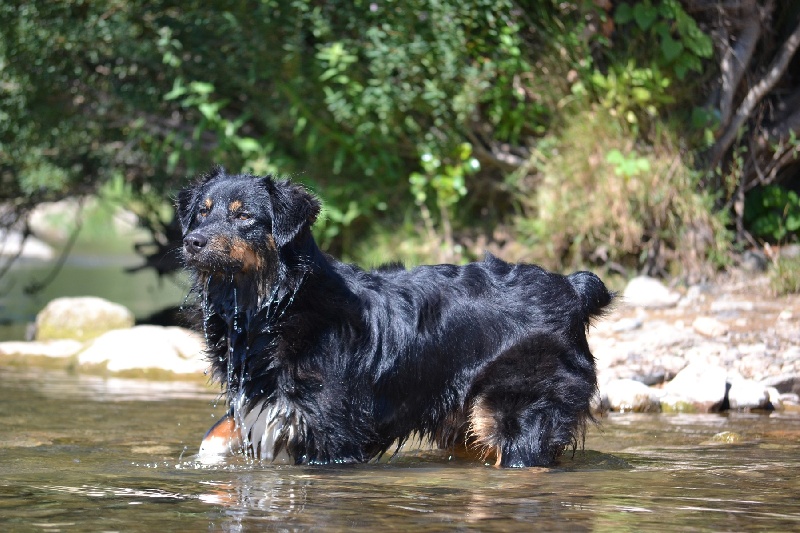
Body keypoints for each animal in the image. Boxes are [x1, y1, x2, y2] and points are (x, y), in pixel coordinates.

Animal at [177, 167, 612, 466]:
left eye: (244, 217)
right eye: (202, 213)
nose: (191, 242)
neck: (273, 305)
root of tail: (571, 286)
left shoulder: (331, 434)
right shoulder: (260, 400)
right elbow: (214, 435)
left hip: (519, 410)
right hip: (464, 421)